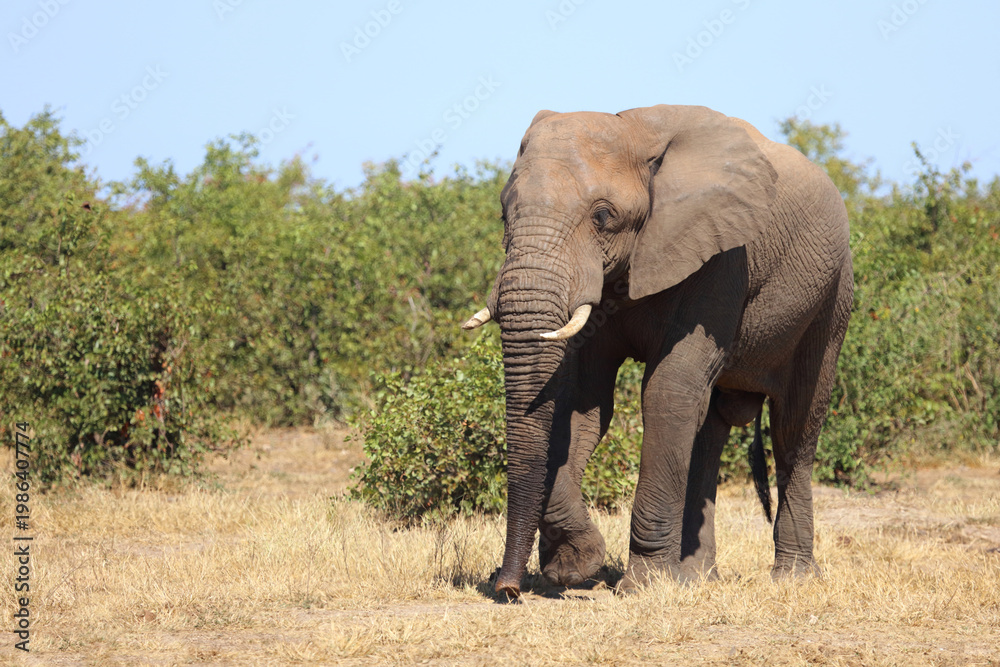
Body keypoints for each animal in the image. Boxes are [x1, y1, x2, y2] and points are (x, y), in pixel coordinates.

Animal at [462, 104, 853, 596]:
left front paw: (643, 585)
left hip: (832, 296)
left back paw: (791, 579)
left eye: (602, 216)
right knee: (709, 429)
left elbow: (667, 390)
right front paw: (574, 567)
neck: (634, 128)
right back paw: (696, 578)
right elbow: (583, 401)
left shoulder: (722, 256)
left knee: (794, 426)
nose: (507, 588)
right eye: (502, 214)